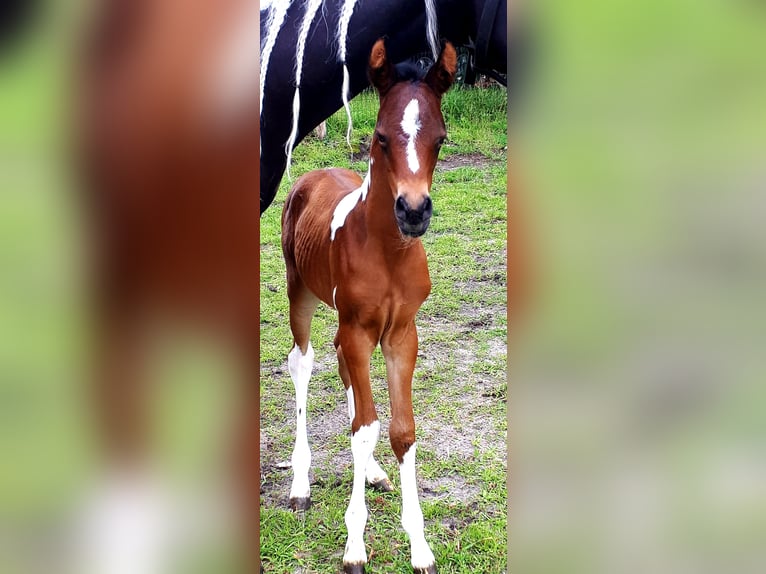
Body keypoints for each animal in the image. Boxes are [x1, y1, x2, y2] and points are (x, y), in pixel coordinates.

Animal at [280, 38, 456, 572]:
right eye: (380, 138)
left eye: (440, 140)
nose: (414, 211)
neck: (387, 250)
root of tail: (313, 174)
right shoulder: (359, 329)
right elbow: (363, 428)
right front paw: (354, 546)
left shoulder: (400, 334)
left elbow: (399, 430)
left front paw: (420, 547)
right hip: (301, 293)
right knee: (303, 363)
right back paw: (300, 485)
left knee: (344, 374)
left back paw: (375, 472)